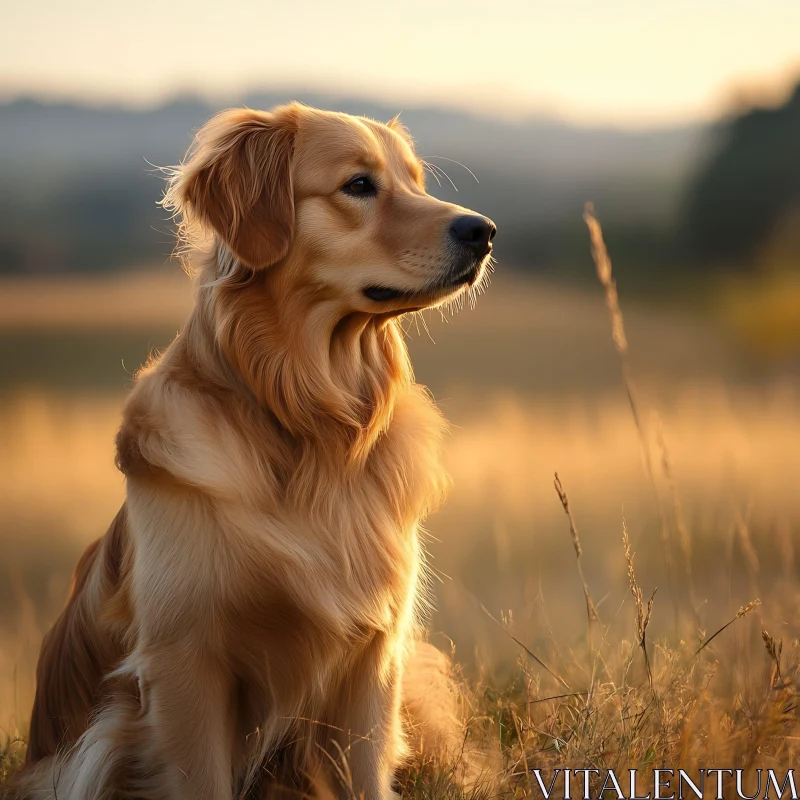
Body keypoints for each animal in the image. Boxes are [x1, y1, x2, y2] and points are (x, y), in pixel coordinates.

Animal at [10, 103, 494, 796]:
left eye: (416, 181)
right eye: (359, 185)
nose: (483, 231)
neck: (311, 425)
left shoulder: (374, 657)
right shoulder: (184, 666)